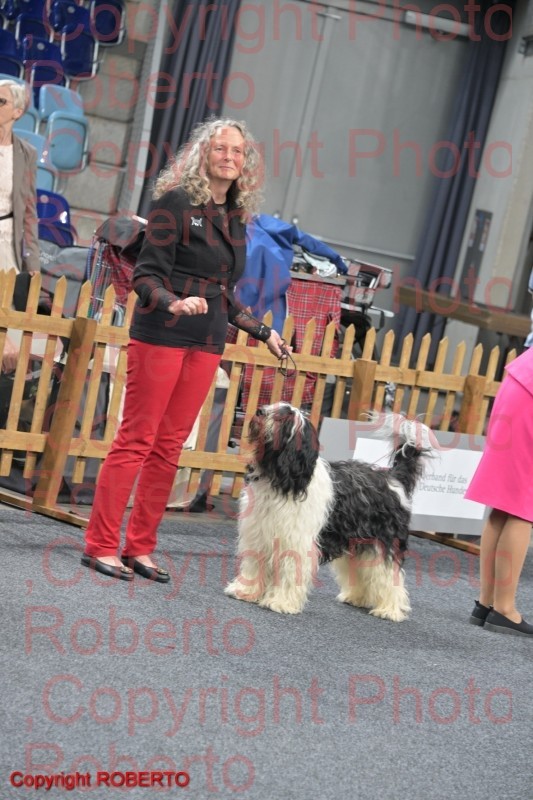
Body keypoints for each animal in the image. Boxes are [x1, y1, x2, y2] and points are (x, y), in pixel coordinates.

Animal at [225, 402, 435, 621]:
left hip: (382, 543)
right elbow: (254, 565)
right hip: (359, 544)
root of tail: (393, 479)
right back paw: (356, 597)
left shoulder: (295, 543)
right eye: (272, 406)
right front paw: (245, 591)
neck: (278, 477)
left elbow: (291, 573)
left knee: (389, 576)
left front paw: (281, 602)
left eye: (283, 418)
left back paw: (390, 610)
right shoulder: (258, 534)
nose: (259, 411)